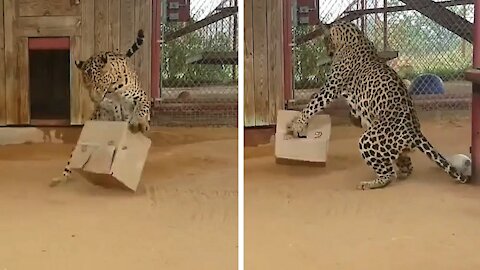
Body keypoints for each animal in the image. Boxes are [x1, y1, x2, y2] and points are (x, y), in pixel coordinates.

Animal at [286, 20, 470, 190]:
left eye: (326, 40)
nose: (328, 52)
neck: (353, 37)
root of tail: (414, 131)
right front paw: (354, 119)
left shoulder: (331, 87)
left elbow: (313, 104)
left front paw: (297, 124)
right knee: (405, 163)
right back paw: (403, 171)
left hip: (368, 140)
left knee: (388, 173)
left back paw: (371, 183)